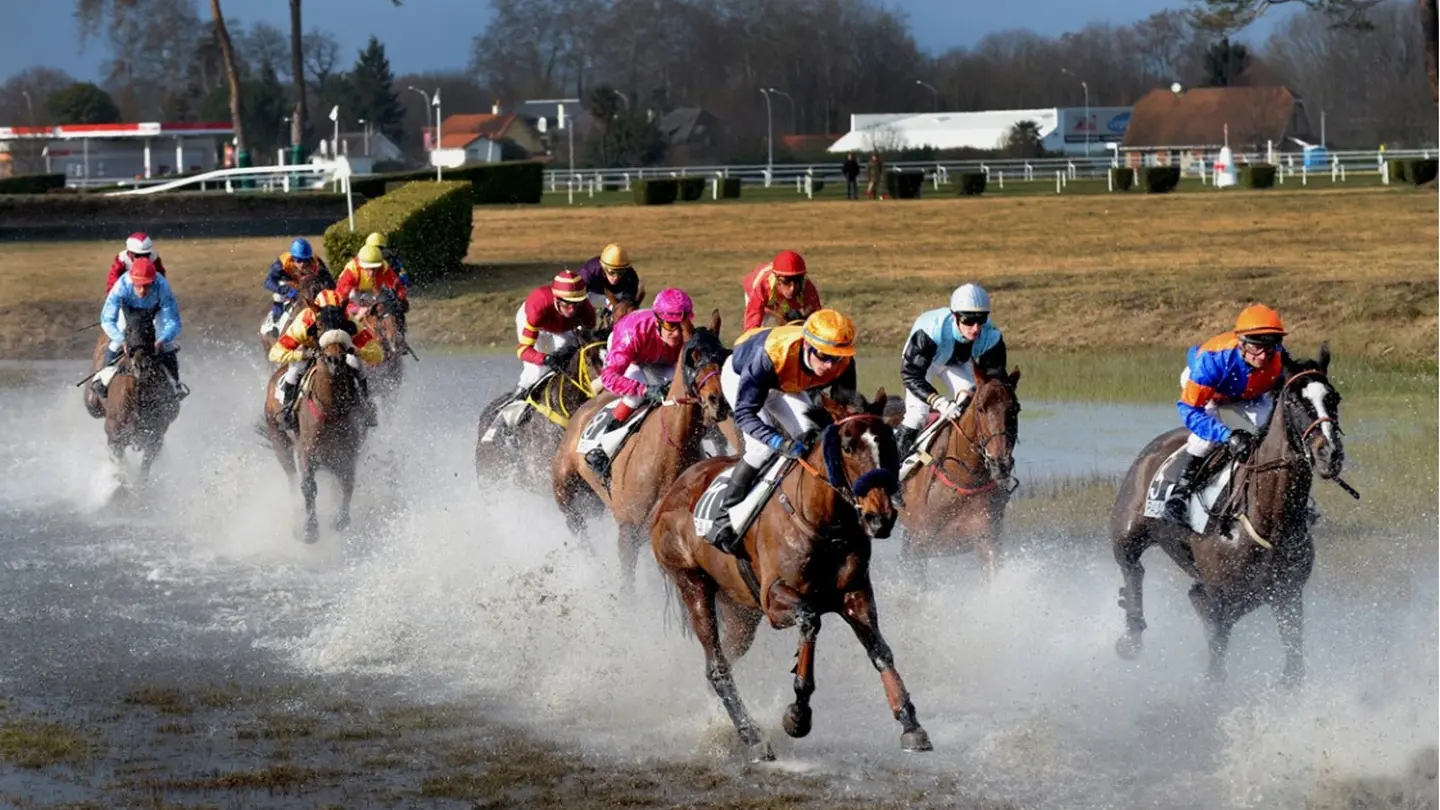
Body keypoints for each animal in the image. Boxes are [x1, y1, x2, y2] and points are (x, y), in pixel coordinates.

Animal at [263, 328, 371, 541]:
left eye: (344, 327)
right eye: (320, 329)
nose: (335, 360)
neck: (331, 411)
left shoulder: (347, 453)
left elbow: (347, 482)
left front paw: (341, 519)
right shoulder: (306, 451)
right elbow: (309, 487)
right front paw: (310, 529)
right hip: (279, 441)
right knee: (291, 478)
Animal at [550, 308, 731, 593]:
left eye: (722, 355)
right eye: (692, 357)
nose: (718, 401)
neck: (670, 451)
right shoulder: (628, 531)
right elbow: (628, 587)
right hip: (566, 492)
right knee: (578, 529)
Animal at [648, 412, 927, 760]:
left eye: (890, 443)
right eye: (848, 448)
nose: (881, 517)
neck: (825, 524)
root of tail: (673, 491)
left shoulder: (856, 595)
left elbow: (880, 651)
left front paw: (910, 724)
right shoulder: (774, 601)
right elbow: (810, 619)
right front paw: (797, 715)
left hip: (740, 610)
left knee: (724, 659)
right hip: (691, 583)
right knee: (717, 665)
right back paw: (751, 735)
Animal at [892, 367, 1019, 579]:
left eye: (1015, 409)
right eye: (981, 408)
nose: (1000, 463)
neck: (963, 478)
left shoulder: (987, 538)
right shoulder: (920, 543)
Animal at [1100, 347, 1347, 680]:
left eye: (1333, 397)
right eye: (1296, 401)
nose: (1330, 453)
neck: (1270, 520)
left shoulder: (1288, 595)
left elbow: (1293, 668)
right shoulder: (1219, 601)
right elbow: (1216, 671)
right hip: (1127, 530)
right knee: (1132, 567)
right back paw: (1131, 635)